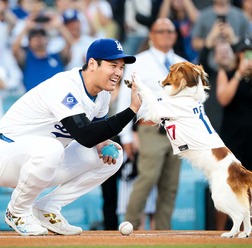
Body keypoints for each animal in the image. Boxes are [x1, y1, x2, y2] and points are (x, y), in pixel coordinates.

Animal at [125, 61, 252, 238]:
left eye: (170, 71)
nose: (159, 81)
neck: (186, 96)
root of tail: (241, 170)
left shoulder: (159, 109)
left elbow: (148, 93)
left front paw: (136, 80)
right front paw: (131, 83)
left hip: (220, 196)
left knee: (239, 214)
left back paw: (229, 234)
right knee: (246, 212)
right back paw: (244, 234)